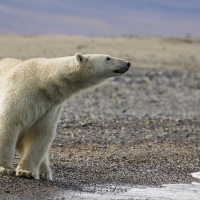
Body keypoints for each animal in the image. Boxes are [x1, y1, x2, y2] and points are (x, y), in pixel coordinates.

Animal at [0, 53, 130, 180]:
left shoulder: (49, 108)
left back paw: (45, 173)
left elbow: (40, 133)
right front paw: (5, 168)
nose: (127, 63)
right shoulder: (21, 93)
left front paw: (27, 172)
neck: (45, 82)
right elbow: (9, 123)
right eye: (108, 58)